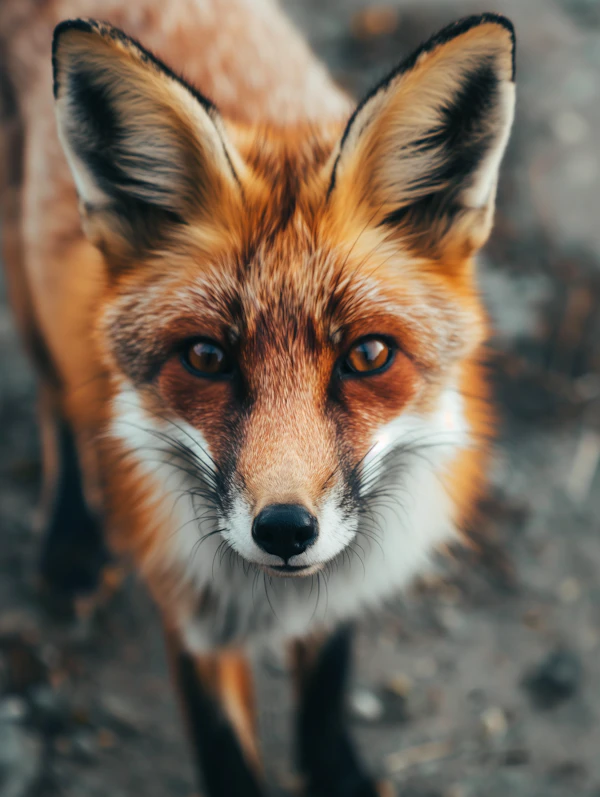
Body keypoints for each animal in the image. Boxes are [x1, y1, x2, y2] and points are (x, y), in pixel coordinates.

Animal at [0, 1, 516, 795]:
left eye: (367, 355)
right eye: (207, 357)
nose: (284, 530)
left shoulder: (339, 579)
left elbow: (325, 685)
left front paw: (336, 771)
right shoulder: (191, 615)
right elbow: (225, 752)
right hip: (24, 273)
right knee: (56, 402)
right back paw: (69, 539)